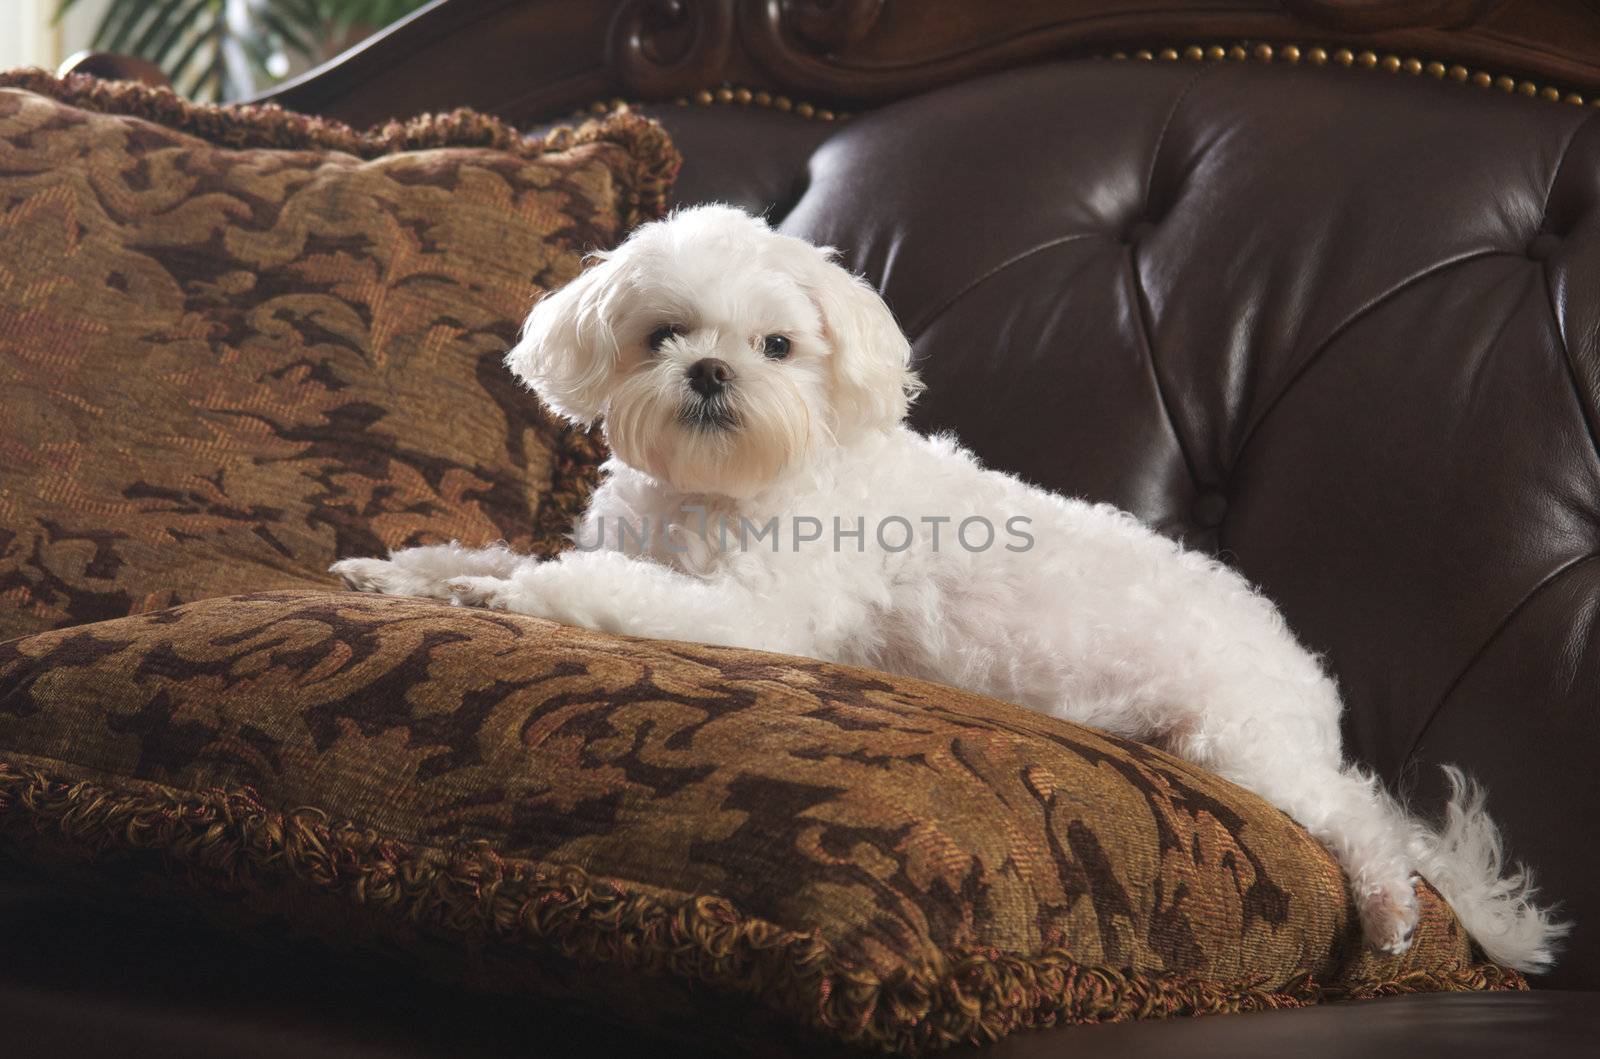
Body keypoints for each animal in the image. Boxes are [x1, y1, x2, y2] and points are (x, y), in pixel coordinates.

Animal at [334, 204, 1561, 972]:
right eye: (662, 333)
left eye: (777, 346)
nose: (711, 371)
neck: (723, 485)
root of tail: (1307, 676)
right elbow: (515, 553)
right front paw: (408, 572)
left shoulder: (754, 615)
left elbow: (595, 585)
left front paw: (504, 602)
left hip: (1242, 744)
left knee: (1364, 820)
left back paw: (1391, 905)